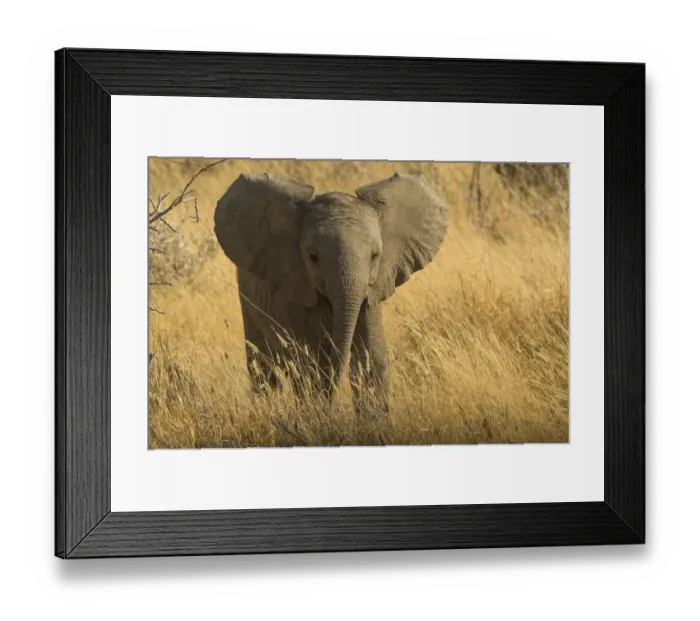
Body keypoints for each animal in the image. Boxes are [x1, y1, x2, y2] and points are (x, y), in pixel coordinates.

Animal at [213, 171, 448, 414]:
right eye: (313, 257)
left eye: (375, 256)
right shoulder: (293, 291)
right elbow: (310, 363)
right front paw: (318, 415)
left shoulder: (372, 291)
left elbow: (369, 359)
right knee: (262, 365)